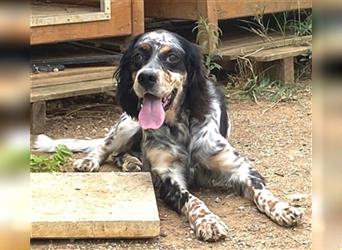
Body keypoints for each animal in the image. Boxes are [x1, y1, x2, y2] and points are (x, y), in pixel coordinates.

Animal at [34, 29, 302, 242]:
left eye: (172, 57)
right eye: (138, 56)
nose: (145, 77)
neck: (182, 128)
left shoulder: (240, 168)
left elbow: (262, 192)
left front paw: (282, 207)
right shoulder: (167, 176)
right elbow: (193, 200)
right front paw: (208, 221)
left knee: (122, 153)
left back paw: (132, 162)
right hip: (128, 124)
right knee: (106, 147)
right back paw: (94, 161)